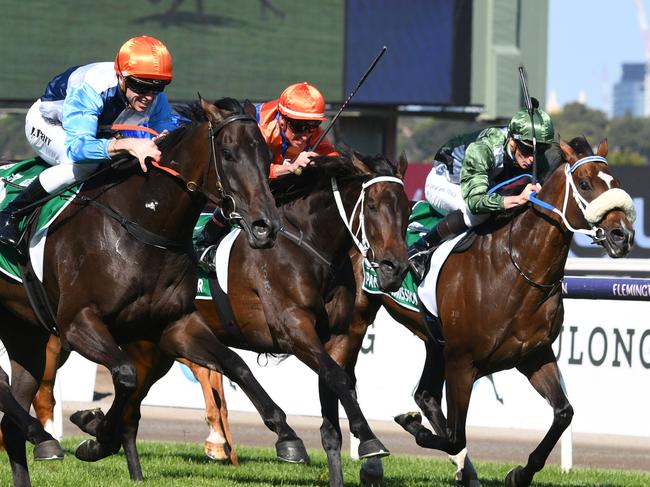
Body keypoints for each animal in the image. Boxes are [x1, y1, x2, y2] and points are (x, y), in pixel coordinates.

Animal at [0, 97, 314, 486]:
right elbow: (125, 375)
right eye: (228, 154)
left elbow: (236, 365)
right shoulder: (77, 323)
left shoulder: (174, 325)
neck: (142, 226)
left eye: (267, 156)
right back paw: (41, 434)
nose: (265, 227)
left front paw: (288, 436)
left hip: (24, 330)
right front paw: (95, 432)